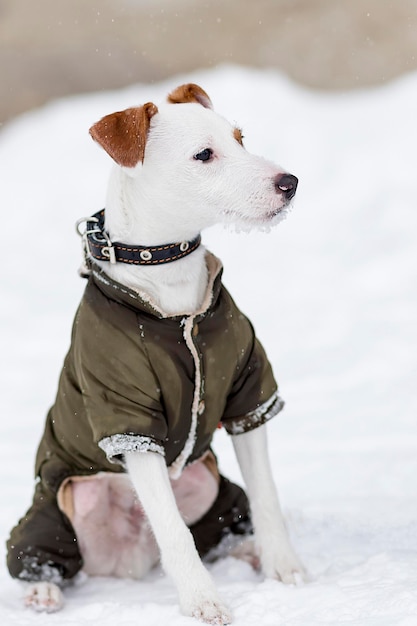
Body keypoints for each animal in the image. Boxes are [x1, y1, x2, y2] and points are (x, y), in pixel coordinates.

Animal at [6, 84, 306, 624]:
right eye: (204, 155)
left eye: (240, 138)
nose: (289, 182)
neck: (169, 287)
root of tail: (130, 560)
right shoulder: (128, 422)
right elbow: (172, 528)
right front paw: (203, 600)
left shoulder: (249, 396)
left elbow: (267, 495)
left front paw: (283, 565)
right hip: (62, 504)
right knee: (46, 555)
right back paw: (42, 589)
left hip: (208, 486)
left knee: (217, 530)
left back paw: (247, 550)